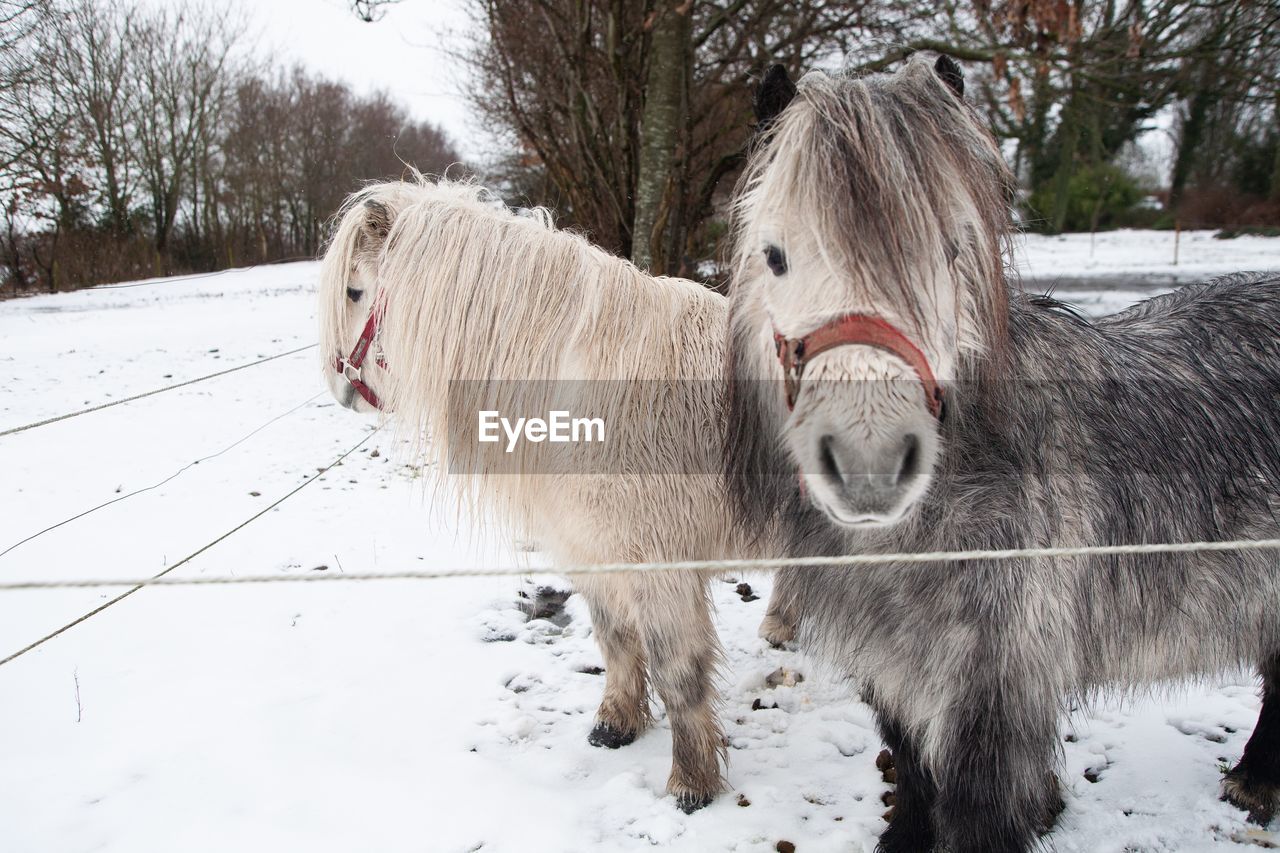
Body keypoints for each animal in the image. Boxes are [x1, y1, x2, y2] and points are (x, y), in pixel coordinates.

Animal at [314, 178, 783, 804]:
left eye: (354, 291)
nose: (340, 387)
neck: (586, 390)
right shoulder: (592, 554)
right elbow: (616, 639)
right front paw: (616, 724)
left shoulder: (660, 569)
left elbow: (678, 672)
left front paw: (691, 783)